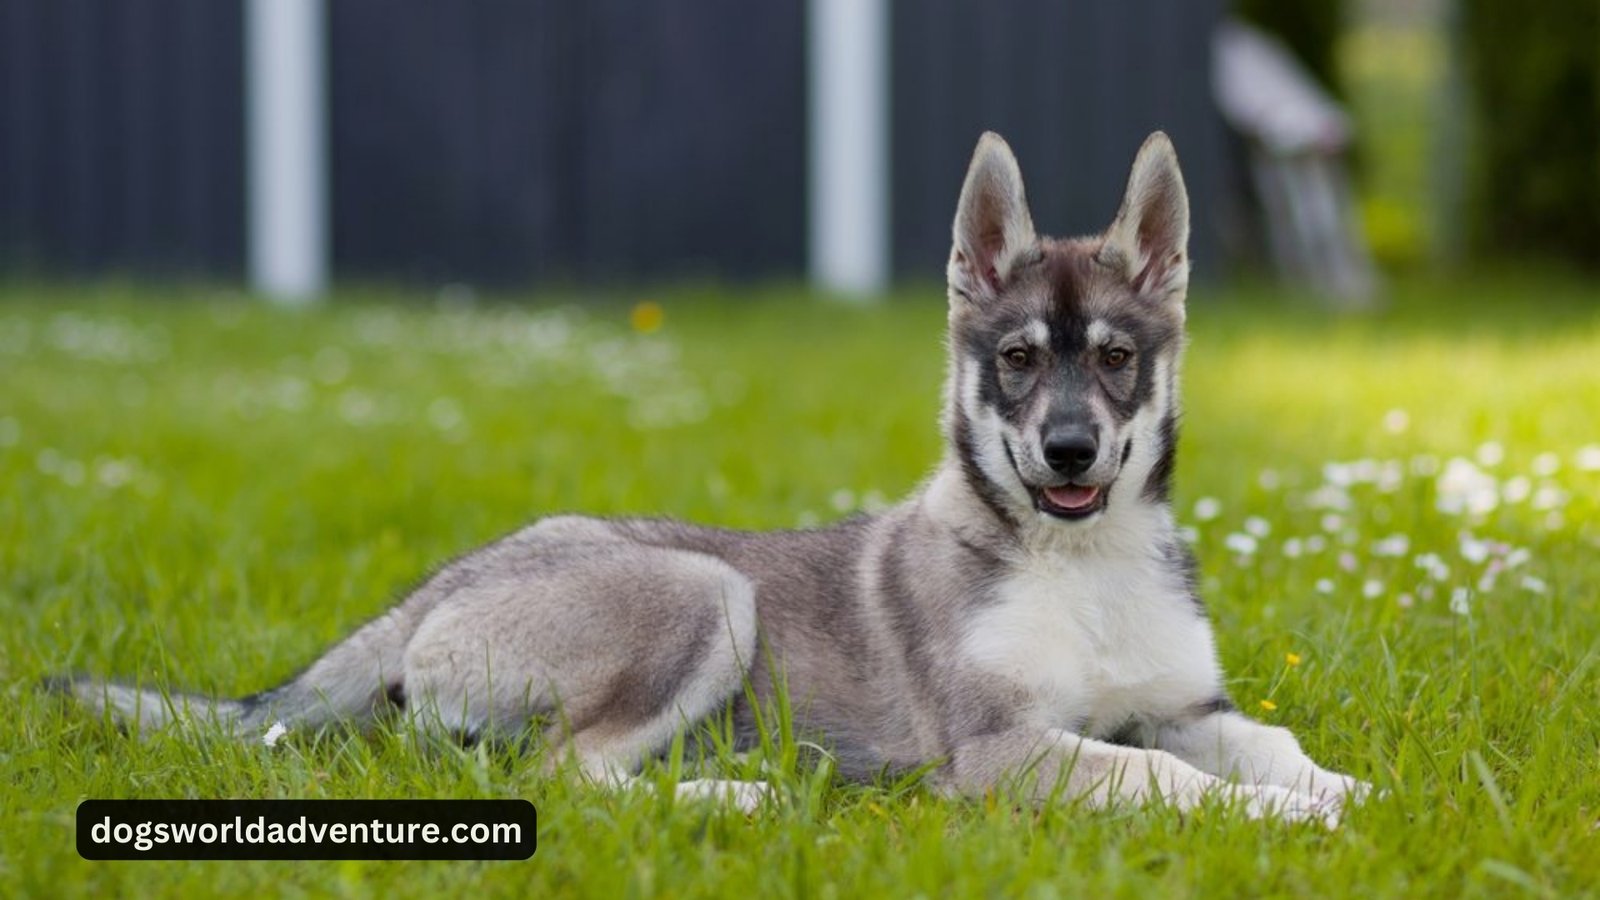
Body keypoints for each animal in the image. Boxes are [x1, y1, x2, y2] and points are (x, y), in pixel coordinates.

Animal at [56, 131, 1369, 819]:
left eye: (1112, 358)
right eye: (1014, 361)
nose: (1068, 452)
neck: (1077, 561)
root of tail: (438, 587)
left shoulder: (1189, 705)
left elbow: (1264, 742)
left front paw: (1344, 790)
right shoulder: (1000, 752)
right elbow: (1160, 775)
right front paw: (1283, 821)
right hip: (702, 592)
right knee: (567, 780)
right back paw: (740, 798)